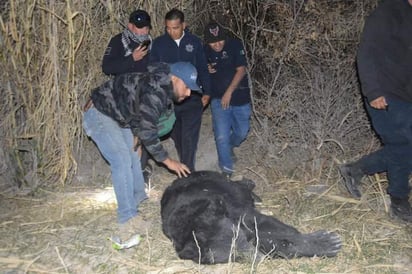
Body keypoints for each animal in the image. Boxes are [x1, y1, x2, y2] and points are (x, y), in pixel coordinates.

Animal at [160, 171, 342, 264]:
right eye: (234, 255)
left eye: (242, 239)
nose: (258, 258)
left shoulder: (233, 210)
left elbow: (263, 223)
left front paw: (326, 242)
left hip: (221, 182)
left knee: (239, 185)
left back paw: (250, 186)